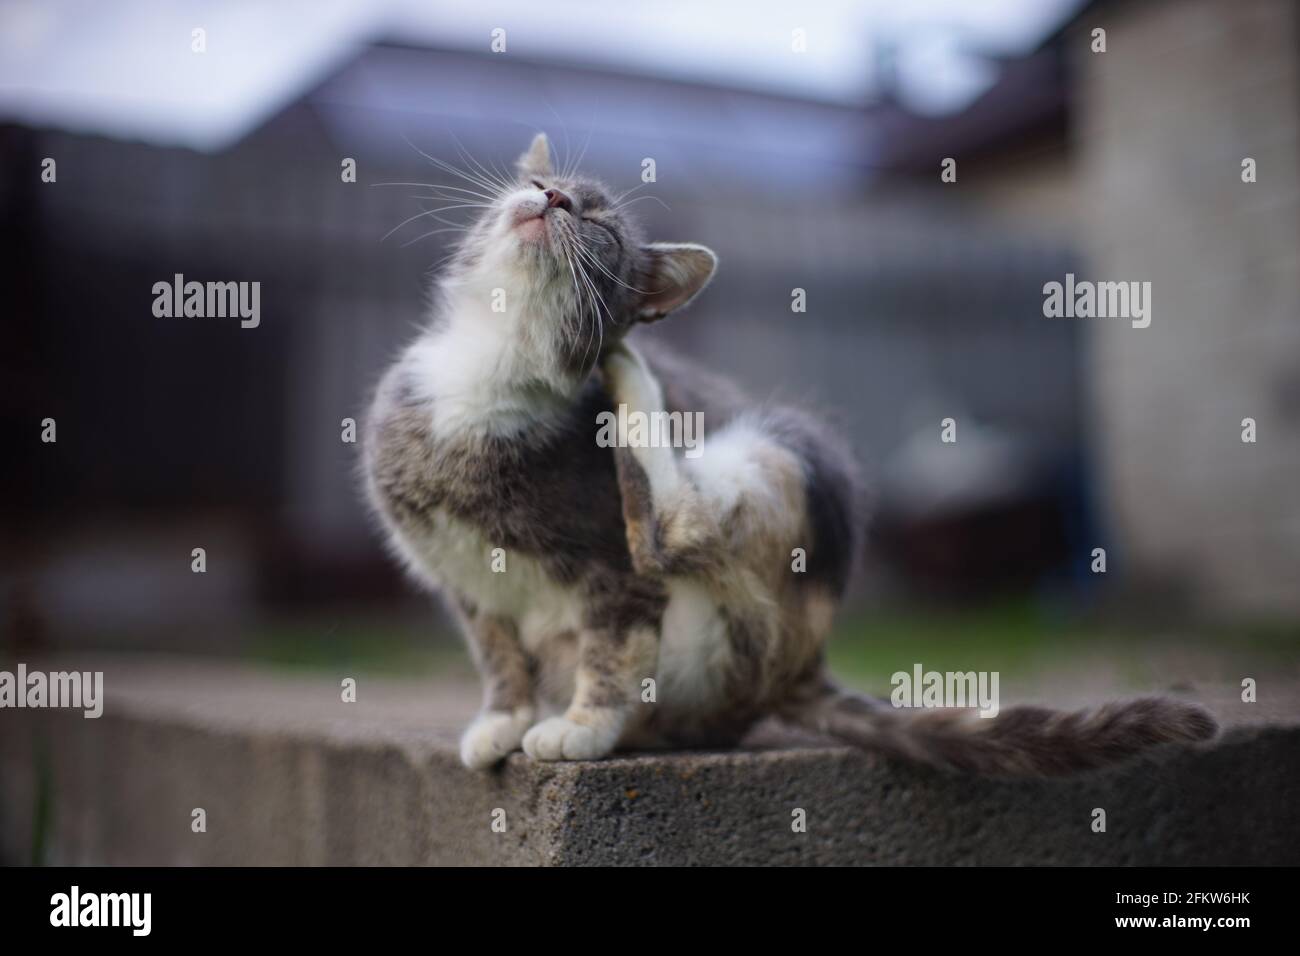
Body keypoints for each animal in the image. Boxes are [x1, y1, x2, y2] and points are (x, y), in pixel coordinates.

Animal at [358, 134, 1216, 775]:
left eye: (602, 228)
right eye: (538, 180)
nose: (555, 198)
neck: (490, 376)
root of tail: (805, 668)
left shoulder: (612, 570)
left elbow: (613, 644)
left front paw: (582, 726)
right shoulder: (466, 585)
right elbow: (498, 656)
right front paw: (501, 720)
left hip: (796, 454)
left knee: (678, 523)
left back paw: (633, 376)